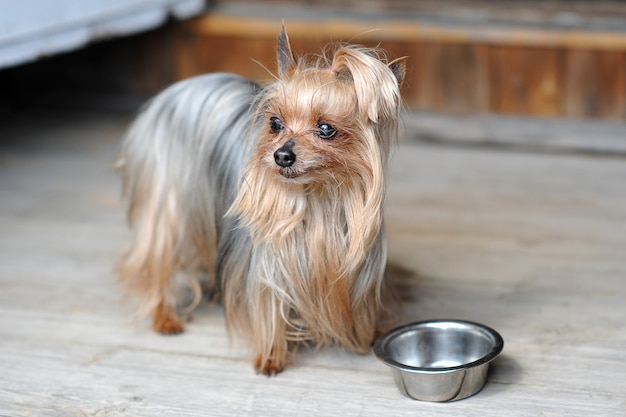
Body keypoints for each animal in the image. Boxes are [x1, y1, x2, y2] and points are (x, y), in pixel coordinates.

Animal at [116, 27, 404, 376]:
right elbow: (267, 301)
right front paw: (270, 355)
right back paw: (165, 317)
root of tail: (167, 95)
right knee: (158, 255)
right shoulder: (269, 260)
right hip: (170, 198)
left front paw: (364, 335)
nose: (282, 155)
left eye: (326, 129)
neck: (318, 197)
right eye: (275, 123)